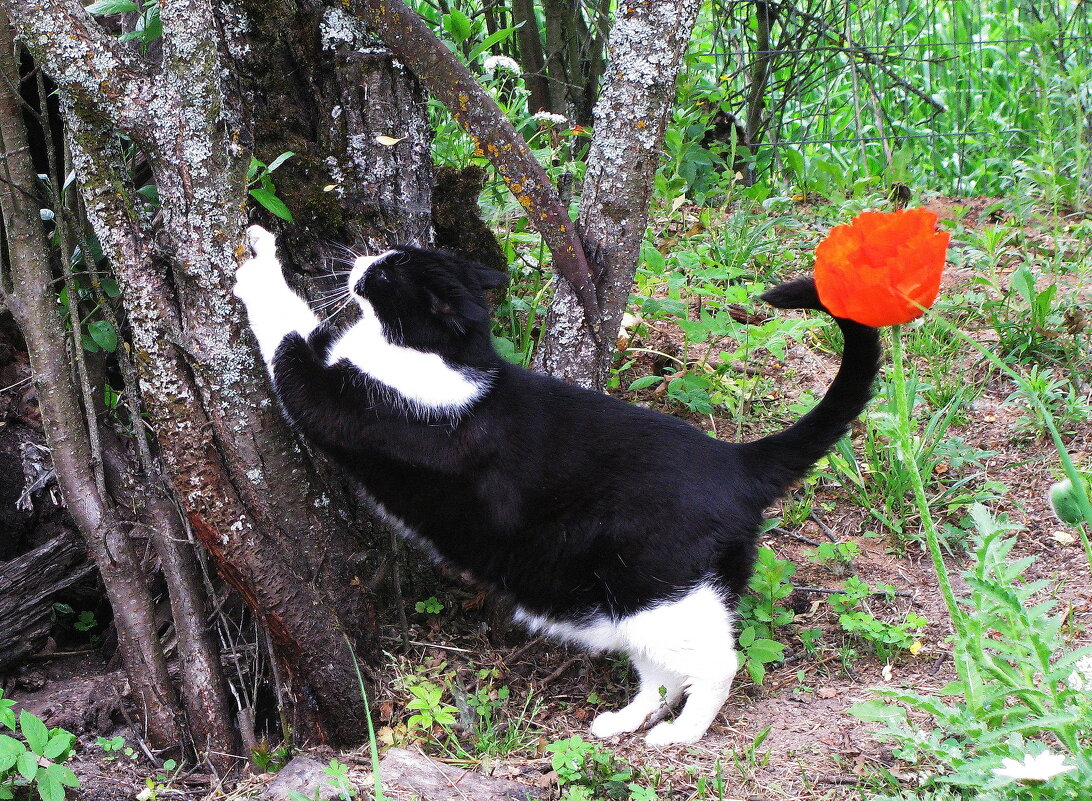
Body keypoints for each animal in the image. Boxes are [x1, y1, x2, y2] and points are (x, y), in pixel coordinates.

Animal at [232, 224, 877, 746]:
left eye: (390, 271)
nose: (361, 257)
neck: (443, 355)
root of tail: (737, 460)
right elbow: (308, 328)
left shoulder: (327, 399)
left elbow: (287, 333)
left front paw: (256, 259)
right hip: (638, 600)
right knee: (663, 671)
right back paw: (624, 720)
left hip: (654, 588)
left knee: (718, 665)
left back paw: (679, 734)